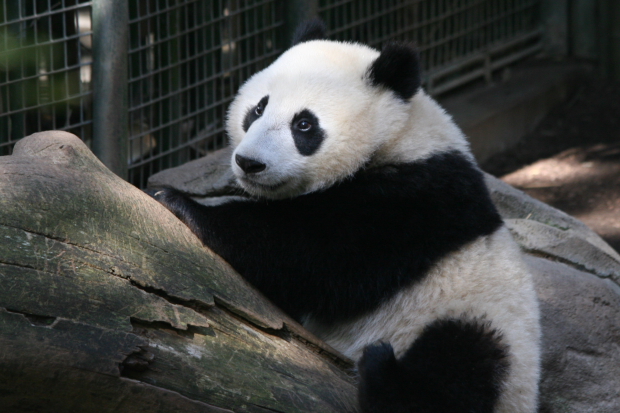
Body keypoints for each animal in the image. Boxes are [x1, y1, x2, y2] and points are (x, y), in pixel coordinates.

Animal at [150, 20, 536, 412]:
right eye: (257, 109)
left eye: (304, 125)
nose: (249, 163)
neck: (397, 137)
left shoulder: (416, 199)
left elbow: (312, 252)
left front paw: (181, 203)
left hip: (475, 320)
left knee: (458, 367)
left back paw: (381, 371)